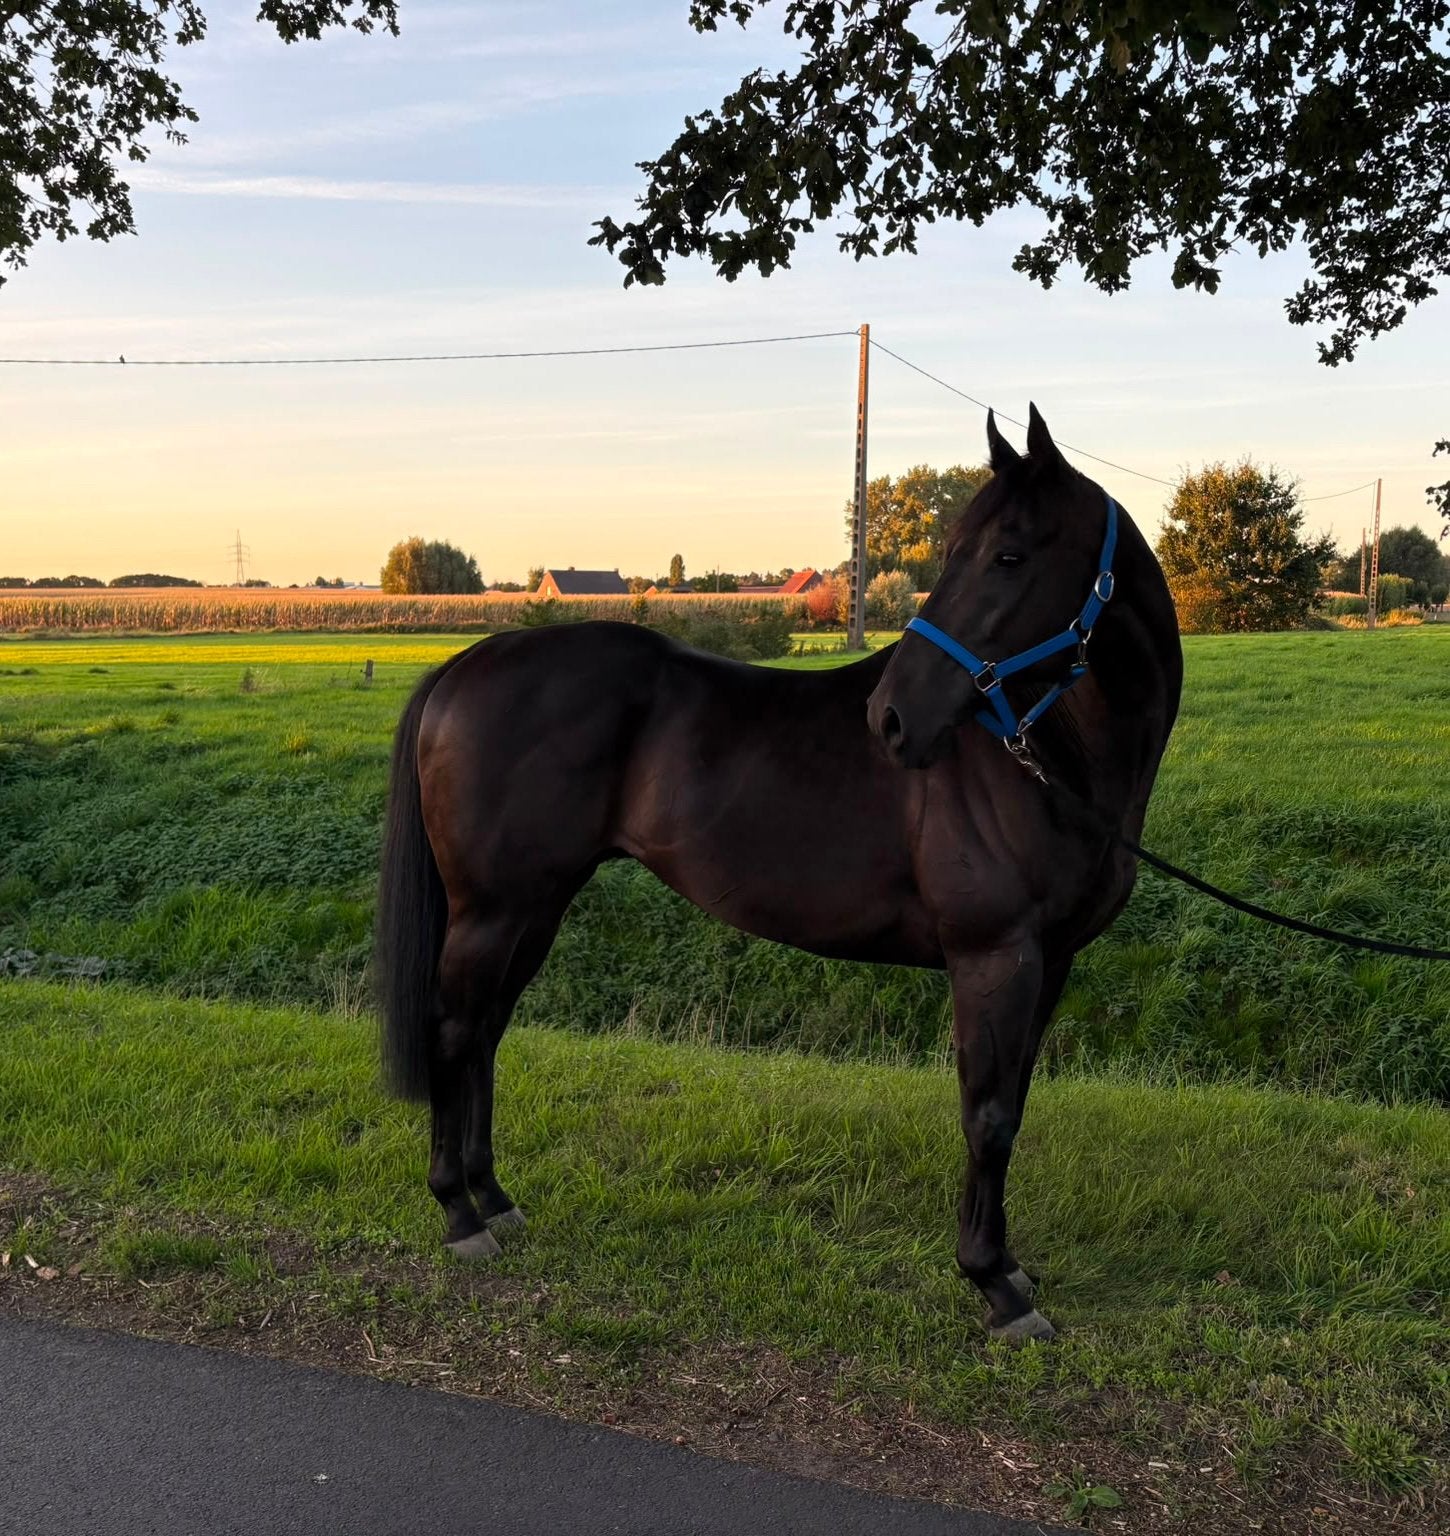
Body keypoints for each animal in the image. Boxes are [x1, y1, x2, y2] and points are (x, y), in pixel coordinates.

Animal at [375, 406, 1182, 1342]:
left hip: (534, 909)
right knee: (456, 1033)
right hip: (492, 910)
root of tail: (464, 665)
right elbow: (986, 1115)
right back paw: (458, 1213)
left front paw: (1007, 1266)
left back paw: (494, 1198)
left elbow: (1010, 1105)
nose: (891, 719)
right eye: (957, 551)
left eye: (1010, 555)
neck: (1048, 756)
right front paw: (995, 1285)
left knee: (486, 1034)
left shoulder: (1050, 963)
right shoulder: (994, 957)